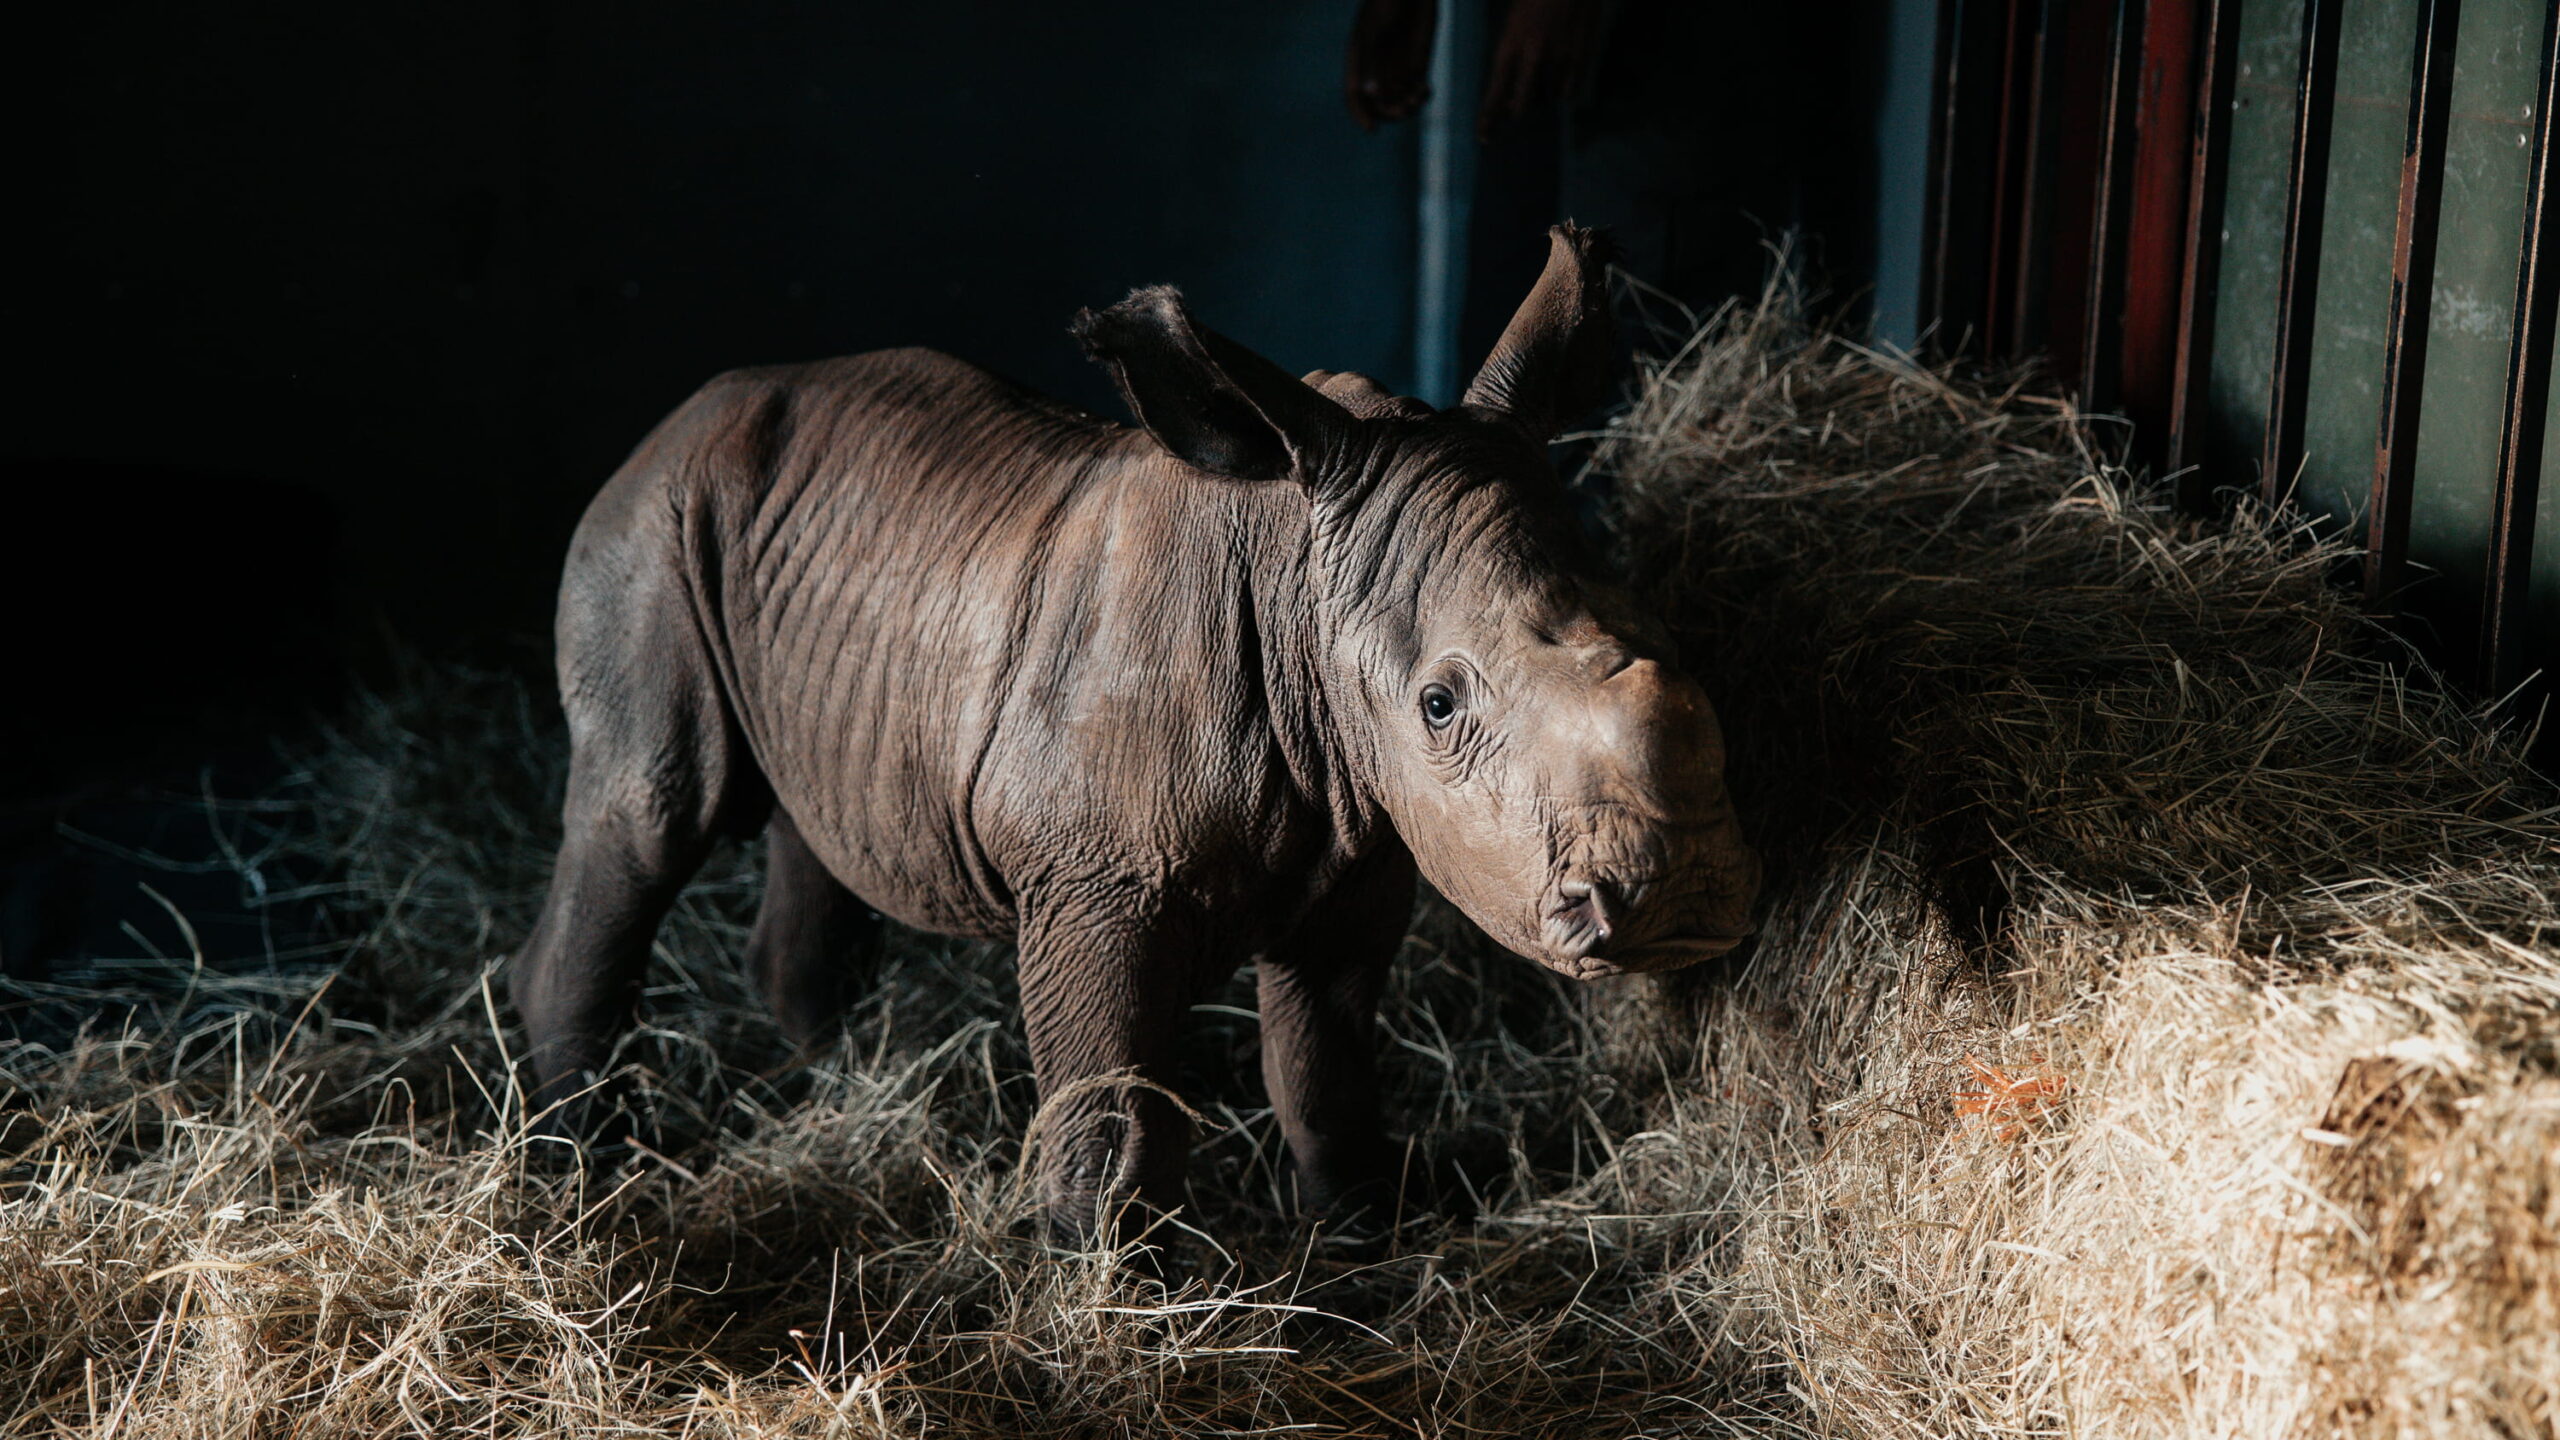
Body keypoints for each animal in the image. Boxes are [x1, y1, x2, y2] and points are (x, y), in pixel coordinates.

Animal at [510, 226, 1761, 1245]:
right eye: (1439, 705)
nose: (1683, 895)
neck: (1295, 576)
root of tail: (674, 418)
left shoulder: (1359, 851)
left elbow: (1324, 1072)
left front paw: (1365, 1230)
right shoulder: (1097, 883)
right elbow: (1111, 1109)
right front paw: (1109, 1297)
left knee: (816, 818)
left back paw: (847, 1082)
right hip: (653, 526)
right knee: (654, 810)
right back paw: (577, 1164)